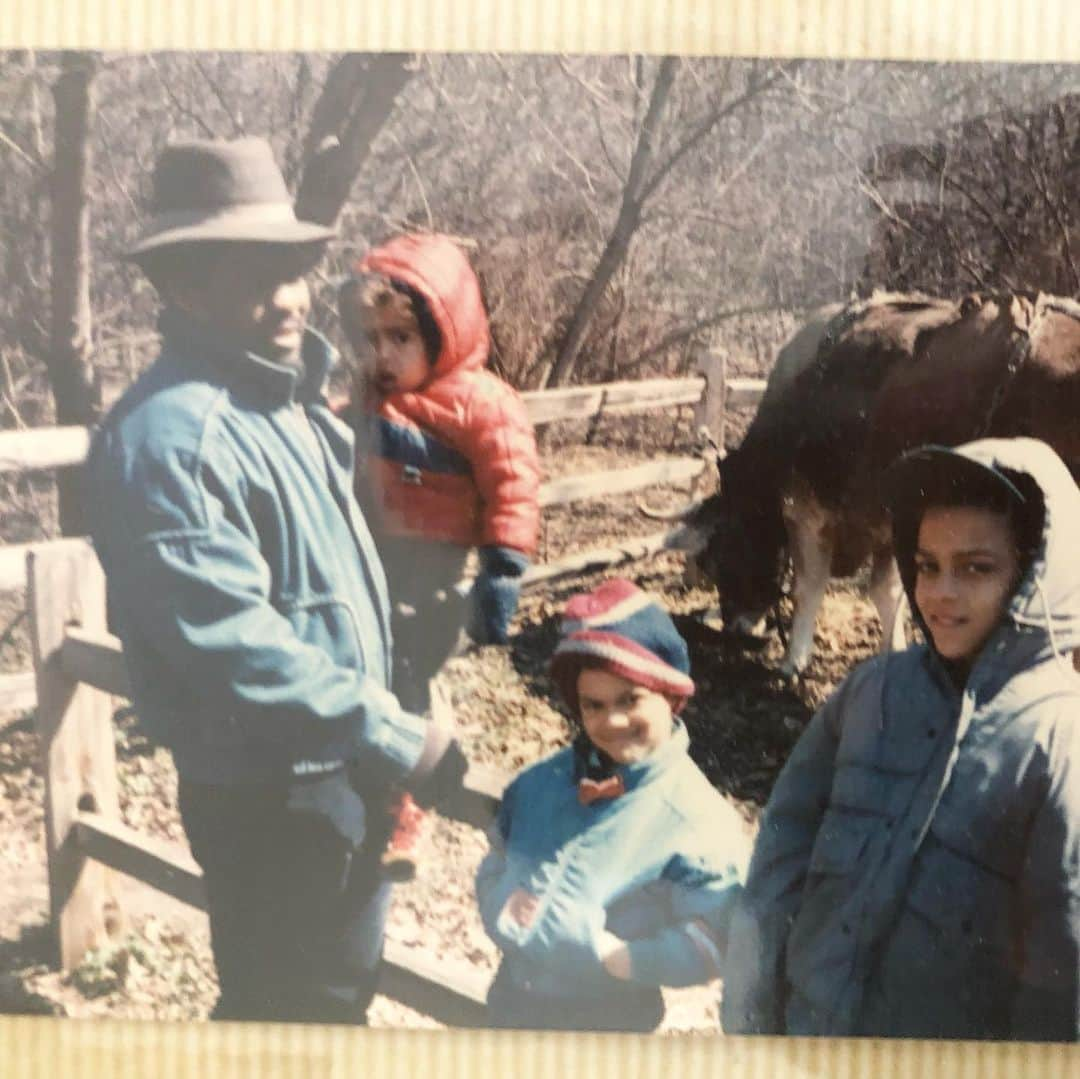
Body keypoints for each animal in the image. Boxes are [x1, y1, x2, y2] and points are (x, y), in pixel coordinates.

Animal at [665, 287, 1080, 673]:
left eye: (713, 558)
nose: (735, 624)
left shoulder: (806, 509)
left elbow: (809, 585)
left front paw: (793, 660)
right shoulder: (888, 517)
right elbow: (889, 592)